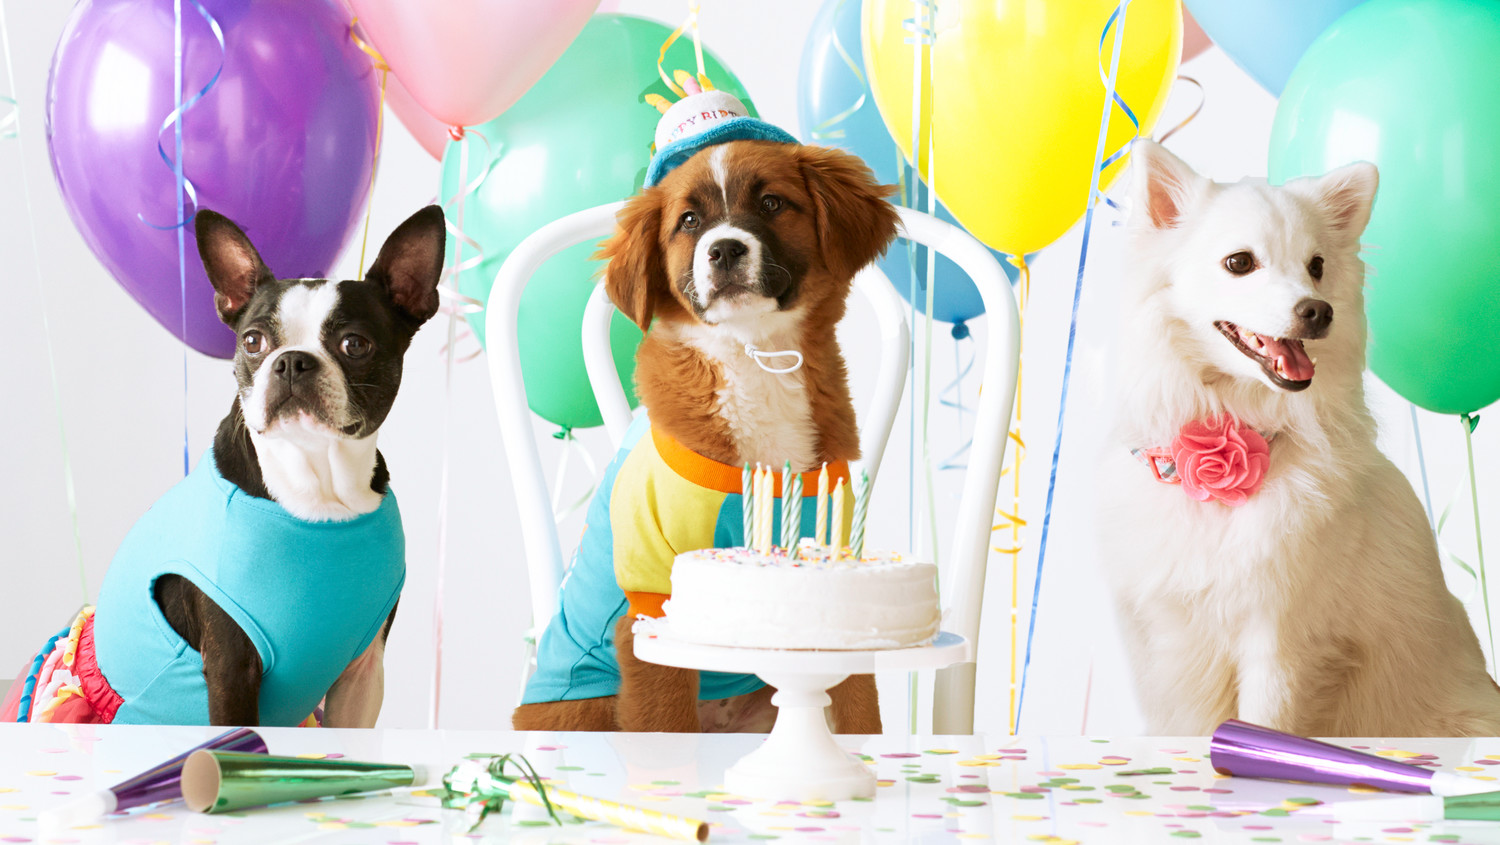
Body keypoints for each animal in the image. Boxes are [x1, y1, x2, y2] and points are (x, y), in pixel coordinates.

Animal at [510, 138, 894, 735]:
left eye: (772, 203)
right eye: (688, 221)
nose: (725, 250)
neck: (755, 358)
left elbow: (861, 712)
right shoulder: (649, 599)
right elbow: (664, 720)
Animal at [1092, 138, 1500, 735]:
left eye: (1317, 266)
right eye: (1240, 263)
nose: (1318, 310)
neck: (1242, 425)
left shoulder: (1281, 642)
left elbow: (1267, 725)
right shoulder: (1169, 643)